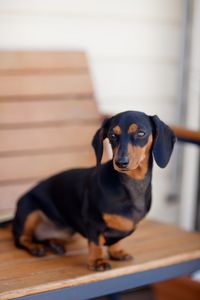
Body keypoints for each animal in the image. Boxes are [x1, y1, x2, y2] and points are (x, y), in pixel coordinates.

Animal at [12, 111, 175, 270]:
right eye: (112, 135)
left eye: (141, 133)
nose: (120, 162)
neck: (132, 185)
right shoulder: (93, 221)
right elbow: (96, 242)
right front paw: (97, 260)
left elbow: (117, 240)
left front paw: (116, 252)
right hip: (29, 210)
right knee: (22, 239)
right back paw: (35, 247)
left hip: (68, 232)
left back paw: (55, 244)